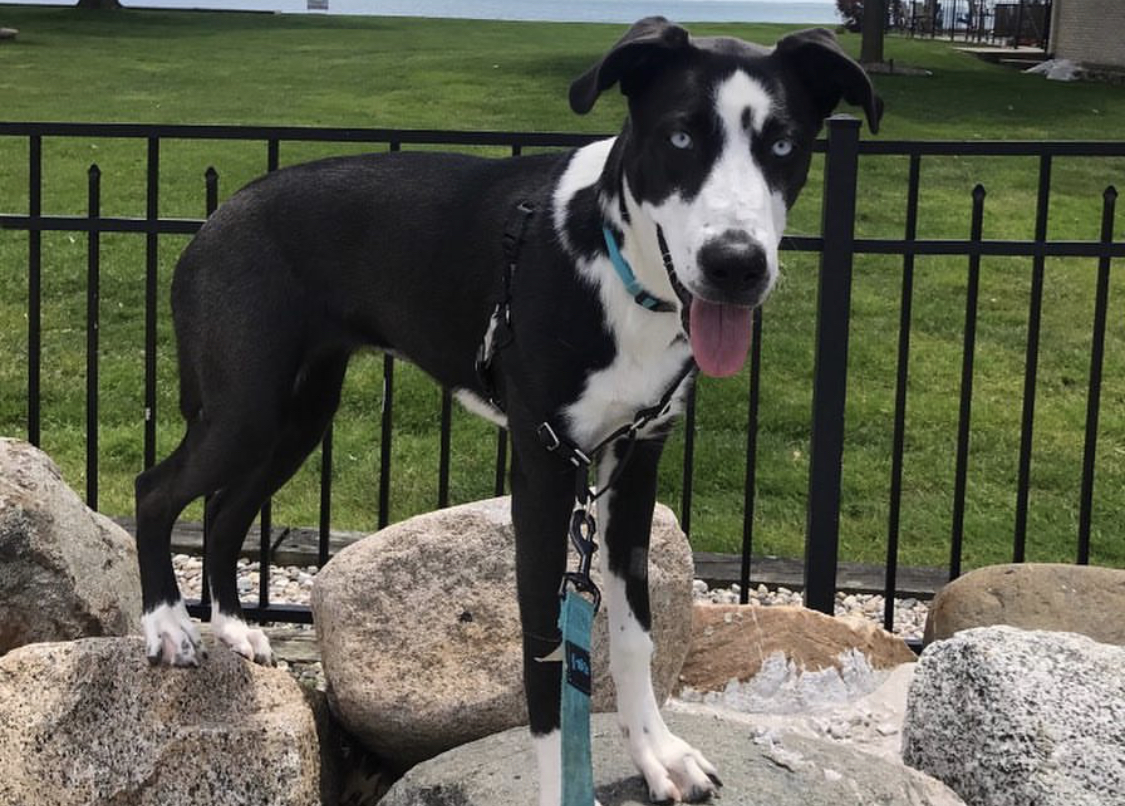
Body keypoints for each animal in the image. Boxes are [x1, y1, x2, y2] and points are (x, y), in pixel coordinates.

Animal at [133, 18, 877, 806]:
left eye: (783, 145)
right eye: (679, 137)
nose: (735, 265)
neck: (615, 269)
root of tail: (218, 217)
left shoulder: (635, 463)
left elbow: (635, 631)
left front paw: (657, 752)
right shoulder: (544, 472)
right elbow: (546, 657)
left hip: (296, 416)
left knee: (224, 510)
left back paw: (234, 627)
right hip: (244, 409)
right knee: (156, 490)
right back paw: (168, 625)